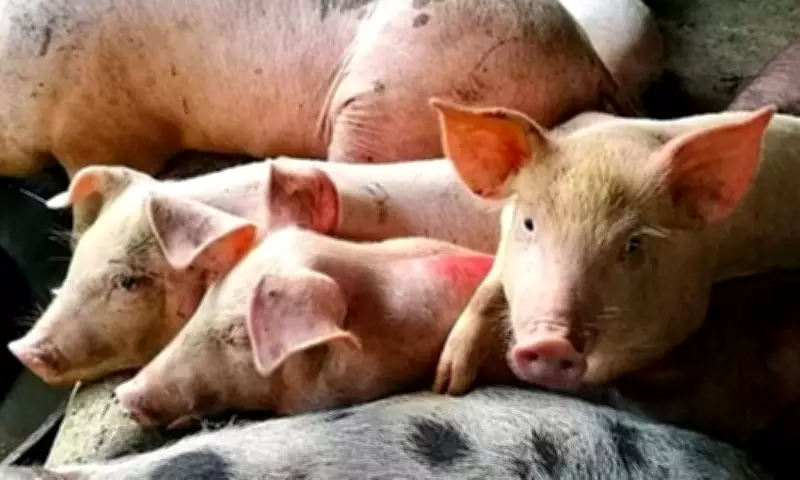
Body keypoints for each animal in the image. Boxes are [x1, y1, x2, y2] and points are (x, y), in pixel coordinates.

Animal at [428, 98, 800, 396]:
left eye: (633, 244)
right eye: (529, 223)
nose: (552, 344)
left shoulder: (680, 318)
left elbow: (602, 371)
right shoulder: (505, 245)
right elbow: (485, 295)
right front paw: (446, 385)